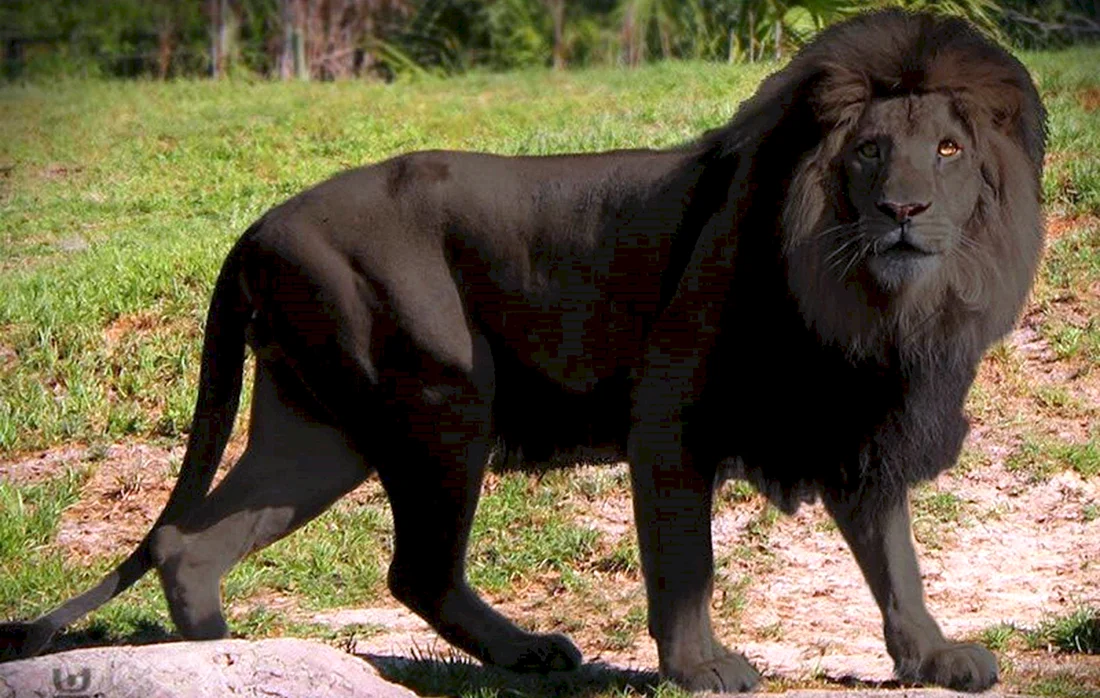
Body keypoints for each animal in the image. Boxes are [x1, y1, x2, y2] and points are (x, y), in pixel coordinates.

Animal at [1, 9, 1045, 692]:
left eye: (949, 151)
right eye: (869, 153)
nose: (903, 209)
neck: (873, 299)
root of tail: (255, 226)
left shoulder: (858, 425)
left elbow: (896, 557)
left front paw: (934, 657)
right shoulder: (669, 412)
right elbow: (686, 561)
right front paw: (702, 667)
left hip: (318, 428)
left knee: (192, 543)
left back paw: (215, 653)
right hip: (442, 392)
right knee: (413, 567)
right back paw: (520, 653)